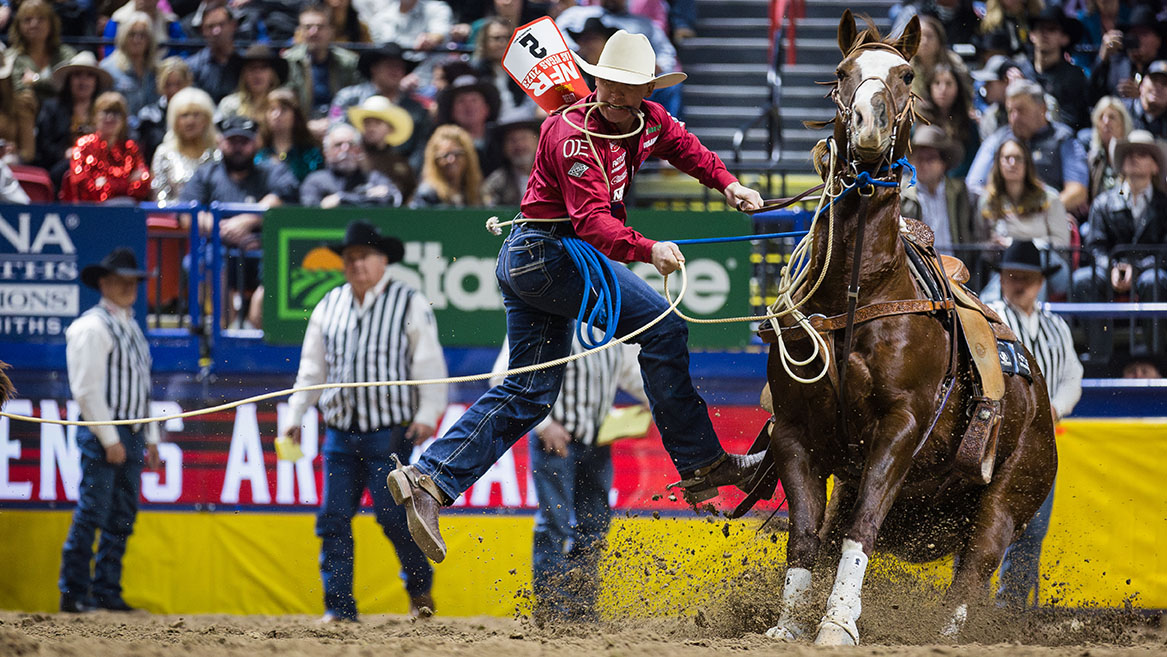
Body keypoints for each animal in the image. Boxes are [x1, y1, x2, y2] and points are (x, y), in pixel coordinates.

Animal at [756, 11, 1059, 648]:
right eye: (843, 71)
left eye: (906, 74)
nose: (868, 125)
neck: (859, 291)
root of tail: (1039, 398)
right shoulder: (796, 430)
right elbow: (806, 533)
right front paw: (789, 623)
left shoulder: (901, 425)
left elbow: (866, 523)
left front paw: (838, 624)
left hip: (1008, 497)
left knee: (974, 566)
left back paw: (946, 634)